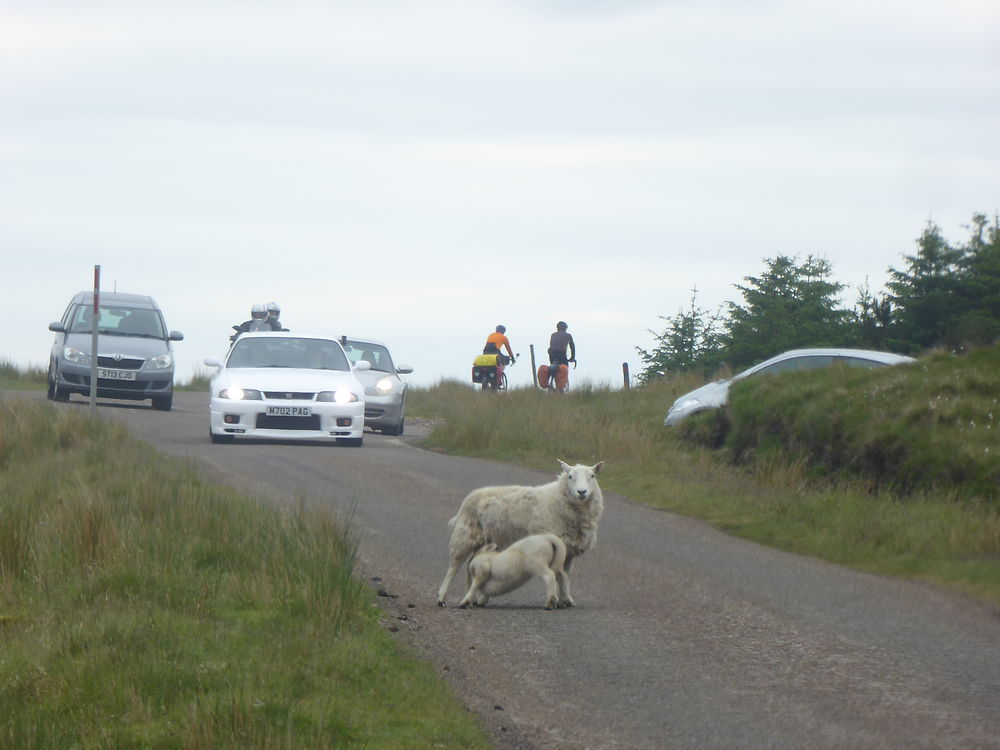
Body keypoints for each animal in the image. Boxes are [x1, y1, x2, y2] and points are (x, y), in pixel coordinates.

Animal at [436, 458, 604, 612]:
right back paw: (442, 598)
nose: (582, 492)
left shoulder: (569, 551)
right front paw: (558, 600)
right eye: (570, 476)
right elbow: (558, 576)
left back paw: (472, 598)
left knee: (469, 566)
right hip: (465, 535)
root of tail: (470, 497)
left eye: (592, 476)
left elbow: (565, 576)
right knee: (454, 566)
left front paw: (566, 600)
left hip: (482, 541)